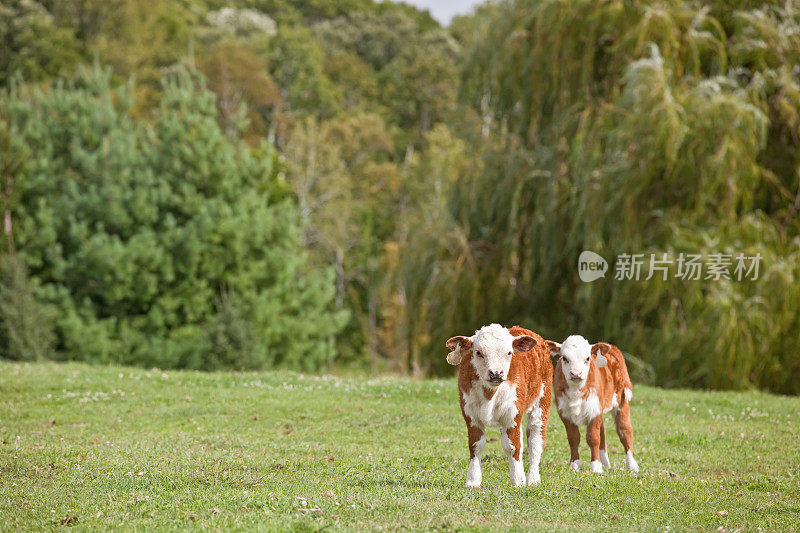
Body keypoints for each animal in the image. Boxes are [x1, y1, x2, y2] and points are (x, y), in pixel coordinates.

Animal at [446, 322, 552, 488]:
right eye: (478, 352)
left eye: (509, 352)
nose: (496, 373)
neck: (489, 394)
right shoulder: (470, 415)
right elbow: (475, 445)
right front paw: (473, 481)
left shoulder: (513, 414)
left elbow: (513, 446)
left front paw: (518, 480)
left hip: (541, 405)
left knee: (535, 441)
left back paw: (533, 478)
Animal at [548, 334, 640, 472]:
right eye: (564, 358)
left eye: (587, 358)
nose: (576, 373)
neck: (576, 392)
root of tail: (611, 347)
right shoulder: (564, 413)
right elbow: (573, 438)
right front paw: (574, 464)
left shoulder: (594, 411)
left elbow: (593, 438)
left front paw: (596, 466)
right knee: (603, 431)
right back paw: (605, 462)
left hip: (621, 403)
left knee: (625, 431)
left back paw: (632, 465)